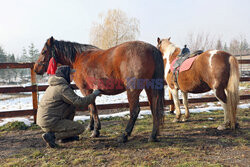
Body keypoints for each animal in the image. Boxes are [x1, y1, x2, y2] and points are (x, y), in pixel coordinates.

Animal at [34, 36, 165, 142]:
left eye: (44, 51)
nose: (36, 68)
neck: (77, 58)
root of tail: (151, 49)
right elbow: (90, 107)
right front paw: (91, 127)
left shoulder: (85, 89)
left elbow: (92, 108)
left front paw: (95, 131)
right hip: (150, 87)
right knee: (154, 108)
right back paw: (153, 136)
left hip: (132, 90)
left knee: (134, 111)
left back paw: (124, 135)